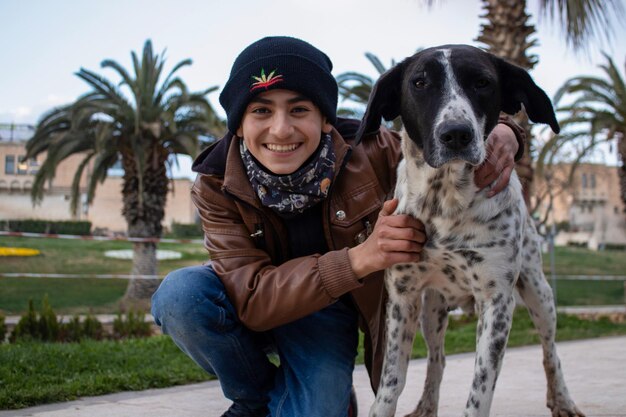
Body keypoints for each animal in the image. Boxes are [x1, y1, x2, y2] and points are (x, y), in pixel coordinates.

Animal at [354, 44, 584, 416]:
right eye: (419, 82)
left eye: (482, 82)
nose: (456, 134)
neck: (444, 199)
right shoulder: (403, 296)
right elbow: (391, 382)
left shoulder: (497, 301)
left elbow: (481, 387)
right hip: (431, 311)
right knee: (438, 359)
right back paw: (426, 405)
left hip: (539, 294)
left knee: (550, 351)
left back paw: (562, 400)